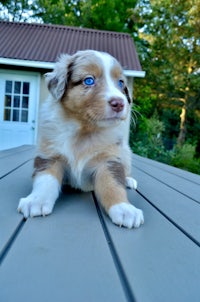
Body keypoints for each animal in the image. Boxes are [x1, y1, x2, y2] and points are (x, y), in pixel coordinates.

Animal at [18, 50, 144, 229]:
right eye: (89, 80)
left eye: (120, 83)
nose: (120, 103)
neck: (84, 131)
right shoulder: (50, 155)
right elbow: (46, 180)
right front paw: (36, 201)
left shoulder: (108, 160)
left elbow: (113, 185)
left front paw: (125, 209)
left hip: (125, 152)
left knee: (124, 170)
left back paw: (128, 179)